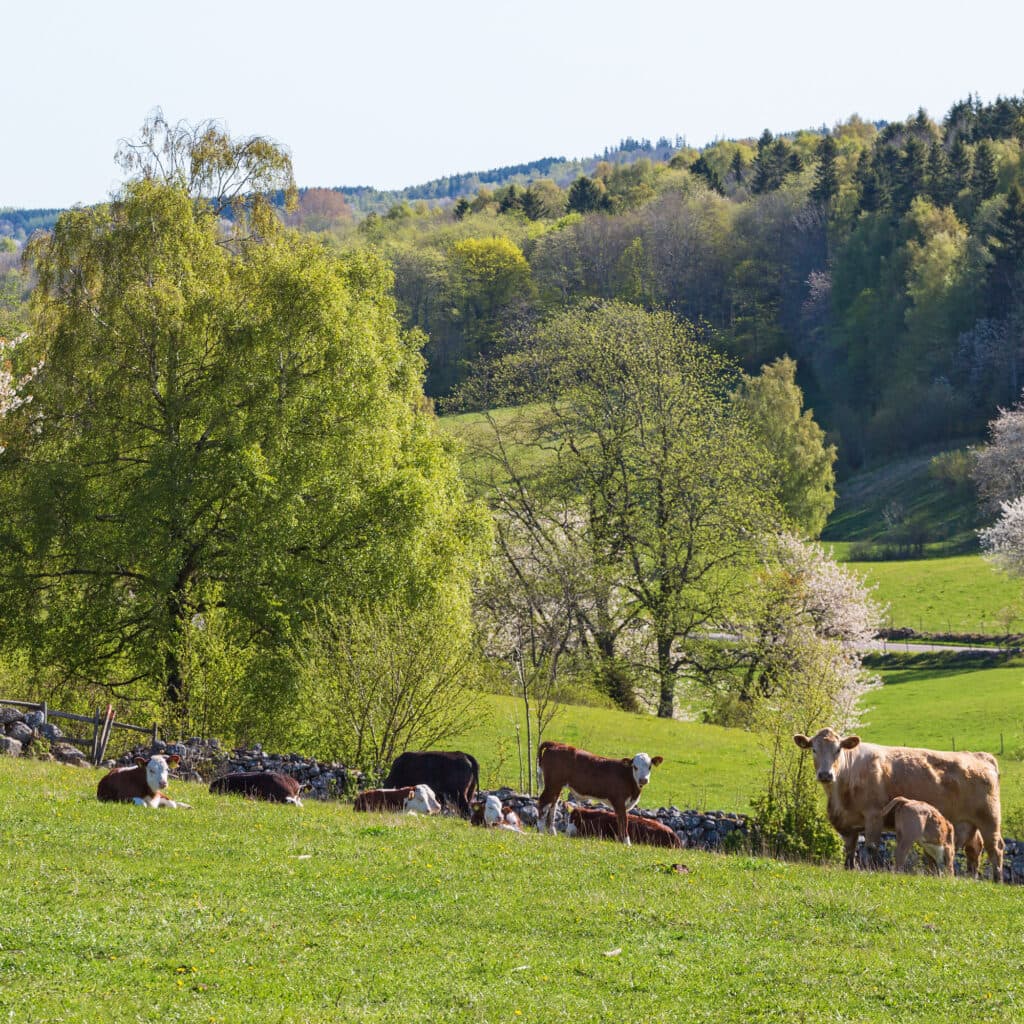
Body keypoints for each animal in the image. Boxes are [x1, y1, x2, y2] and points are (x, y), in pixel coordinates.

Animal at [794, 729, 1003, 880]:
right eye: (814, 749)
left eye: (838, 750)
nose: (825, 774)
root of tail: (979, 756)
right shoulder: (848, 825)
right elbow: (850, 850)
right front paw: (849, 869)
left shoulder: (874, 816)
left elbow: (871, 847)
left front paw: (872, 870)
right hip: (967, 822)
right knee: (974, 849)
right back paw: (972, 877)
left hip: (989, 819)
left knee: (995, 849)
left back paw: (997, 880)